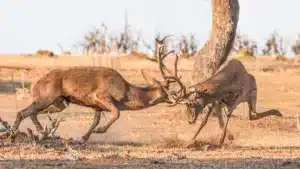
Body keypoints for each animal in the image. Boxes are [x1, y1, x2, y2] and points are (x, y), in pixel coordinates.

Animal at [8, 36, 184, 142]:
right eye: (166, 91)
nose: (179, 98)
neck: (126, 93)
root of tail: (35, 84)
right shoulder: (102, 96)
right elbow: (116, 113)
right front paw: (99, 131)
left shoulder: (97, 107)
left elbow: (95, 121)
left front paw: (83, 137)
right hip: (47, 98)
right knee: (23, 112)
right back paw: (13, 134)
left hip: (59, 103)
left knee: (33, 113)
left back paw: (40, 132)